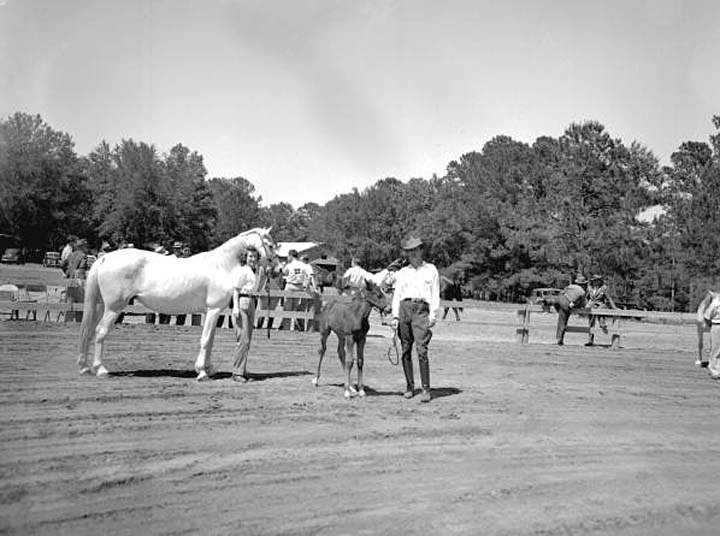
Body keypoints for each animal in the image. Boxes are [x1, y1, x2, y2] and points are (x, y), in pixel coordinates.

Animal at [78, 226, 276, 382]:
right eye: (271, 245)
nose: (276, 269)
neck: (221, 266)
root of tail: (105, 258)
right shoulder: (213, 310)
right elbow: (205, 340)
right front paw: (202, 372)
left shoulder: (210, 312)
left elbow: (210, 340)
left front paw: (209, 368)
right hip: (113, 308)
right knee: (100, 332)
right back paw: (101, 369)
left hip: (101, 306)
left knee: (90, 330)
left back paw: (85, 367)